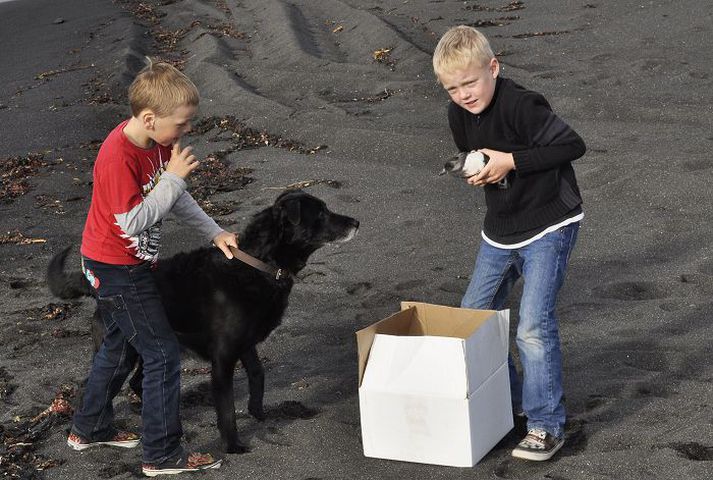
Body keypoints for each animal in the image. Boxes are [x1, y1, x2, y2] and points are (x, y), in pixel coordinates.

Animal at [46, 190, 356, 454]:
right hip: (123, 350)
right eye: (321, 213)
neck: (258, 265)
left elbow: (258, 374)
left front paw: (258, 412)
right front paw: (233, 445)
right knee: (95, 387)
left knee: (136, 383)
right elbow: (227, 407)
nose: (356, 221)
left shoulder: (246, 344)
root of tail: (97, 286)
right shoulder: (224, 357)